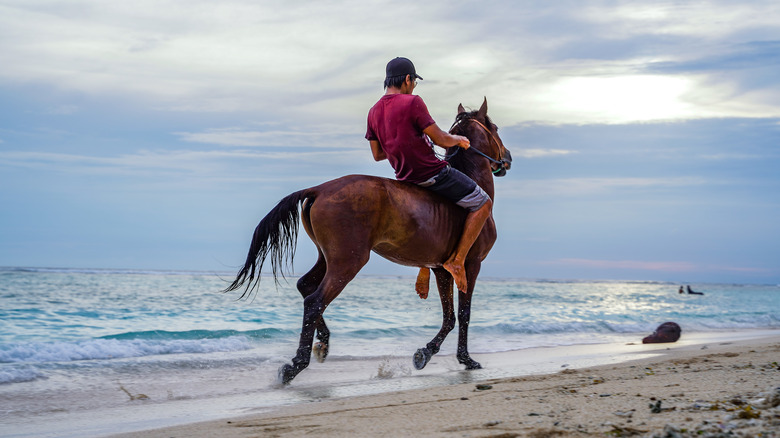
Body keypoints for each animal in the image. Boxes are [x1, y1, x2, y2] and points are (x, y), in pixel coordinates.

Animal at [222, 96, 512, 384]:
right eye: (496, 128)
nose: (507, 158)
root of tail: (320, 189)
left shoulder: (440, 268)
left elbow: (449, 317)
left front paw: (426, 353)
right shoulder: (470, 264)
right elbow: (463, 314)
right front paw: (466, 359)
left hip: (329, 257)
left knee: (305, 286)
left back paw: (323, 344)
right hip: (348, 261)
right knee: (314, 301)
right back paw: (296, 364)